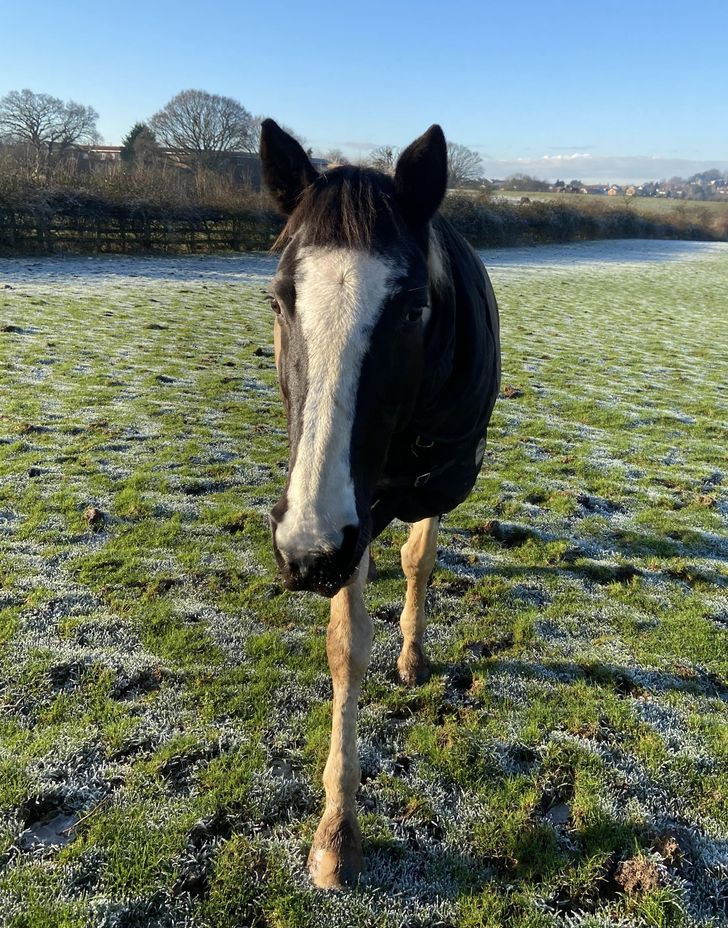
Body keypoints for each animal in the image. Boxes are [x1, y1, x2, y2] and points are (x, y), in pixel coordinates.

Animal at [258, 119, 500, 888]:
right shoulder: (349, 520)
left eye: (413, 306)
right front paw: (337, 833)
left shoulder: (432, 481)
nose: (304, 550)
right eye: (279, 300)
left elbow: (420, 559)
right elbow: (346, 647)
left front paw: (413, 655)